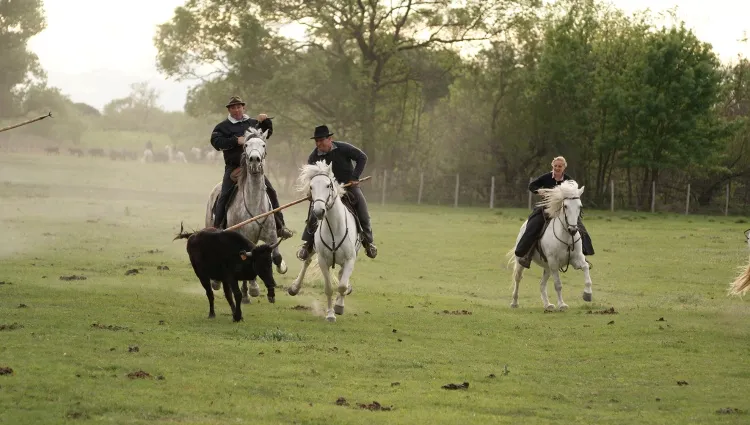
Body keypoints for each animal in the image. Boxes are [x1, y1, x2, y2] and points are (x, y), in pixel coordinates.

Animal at [206, 127, 288, 304]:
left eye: (263, 144)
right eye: (246, 145)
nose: (255, 160)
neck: (254, 203)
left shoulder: (271, 234)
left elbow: (276, 257)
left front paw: (281, 268)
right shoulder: (243, 238)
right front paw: (250, 291)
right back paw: (220, 284)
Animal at [288, 160, 358, 322]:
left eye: (328, 185)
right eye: (311, 187)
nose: (319, 211)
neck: (335, 228)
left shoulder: (350, 259)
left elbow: (342, 286)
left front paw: (339, 306)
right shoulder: (323, 260)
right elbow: (329, 288)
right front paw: (330, 314)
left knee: (341, 276)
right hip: (312, 249)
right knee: (306, 261)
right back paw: (295, 287)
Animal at [512, 181, 592, 310]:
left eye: (580, 206)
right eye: (565, 206)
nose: (573, 230)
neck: (566, 237)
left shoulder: (576, 259)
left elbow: (585, 267)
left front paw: (587, 294)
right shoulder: (554, 263)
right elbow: (558, 285)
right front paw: (562, 304)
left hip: (547, 267)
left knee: (542, 284)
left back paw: (547, 305)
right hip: (522, 261)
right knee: (518, 279)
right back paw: (514, 302)